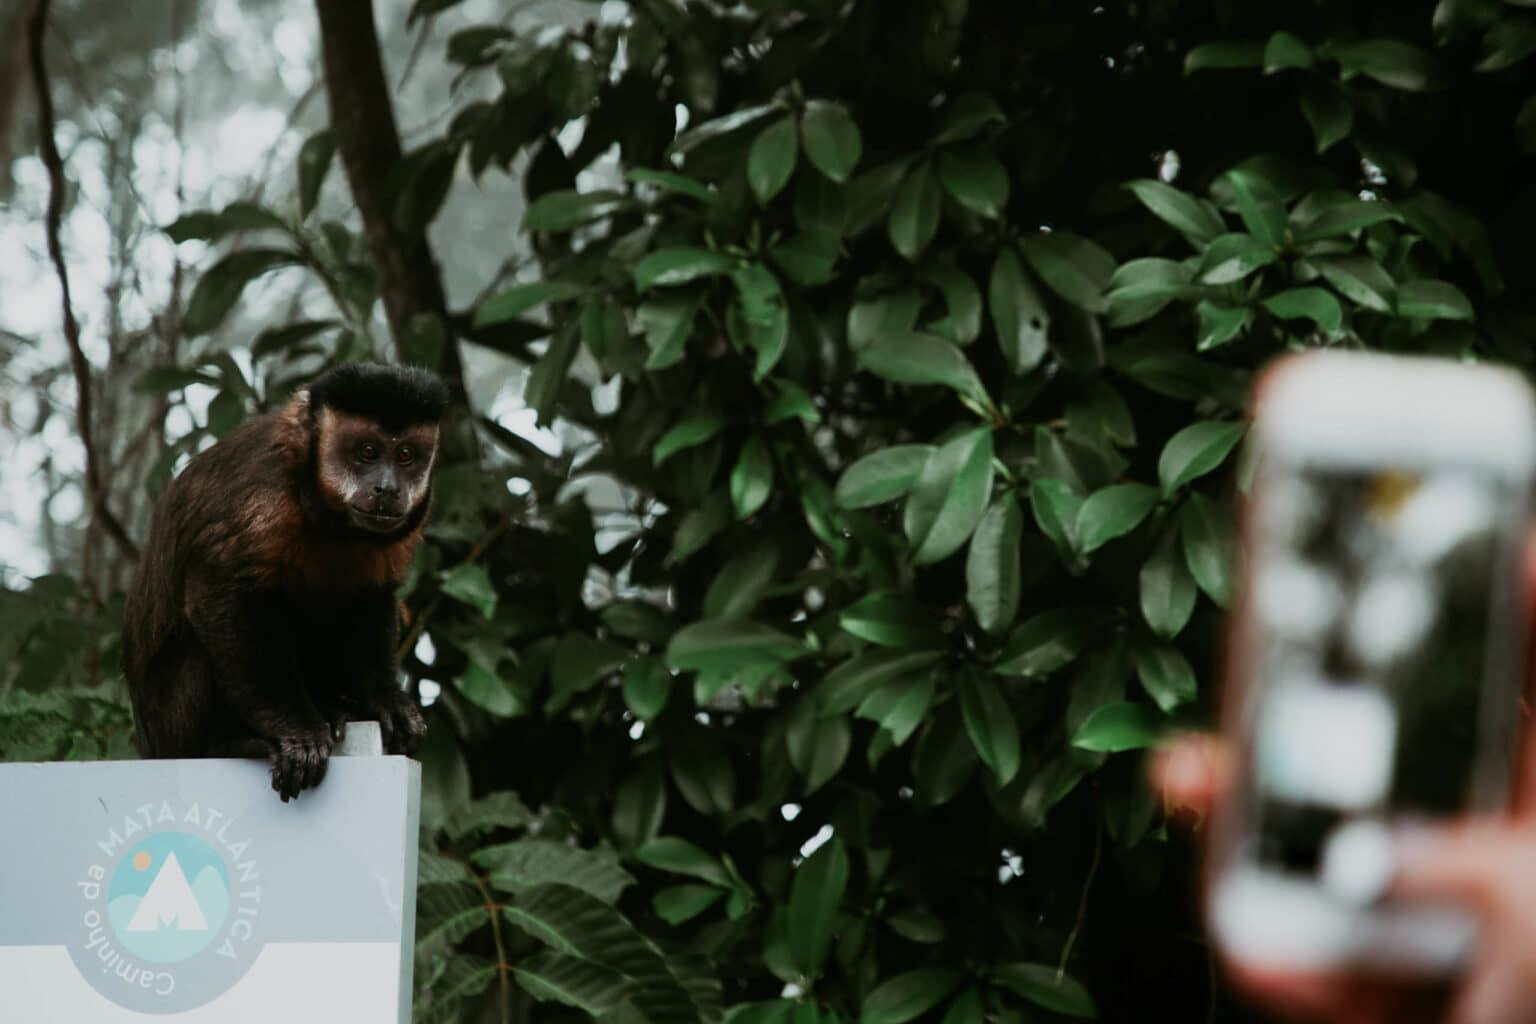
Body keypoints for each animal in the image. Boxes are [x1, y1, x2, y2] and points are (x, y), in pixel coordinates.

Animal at [122, 363, 449, 801]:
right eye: (367, 452)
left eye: (406, 455)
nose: (388, 488)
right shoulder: (262, 495)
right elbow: (218, 590)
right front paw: (294, 729)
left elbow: (371, 595)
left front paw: (384, 699)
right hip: (173, 730)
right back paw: (228, 743)